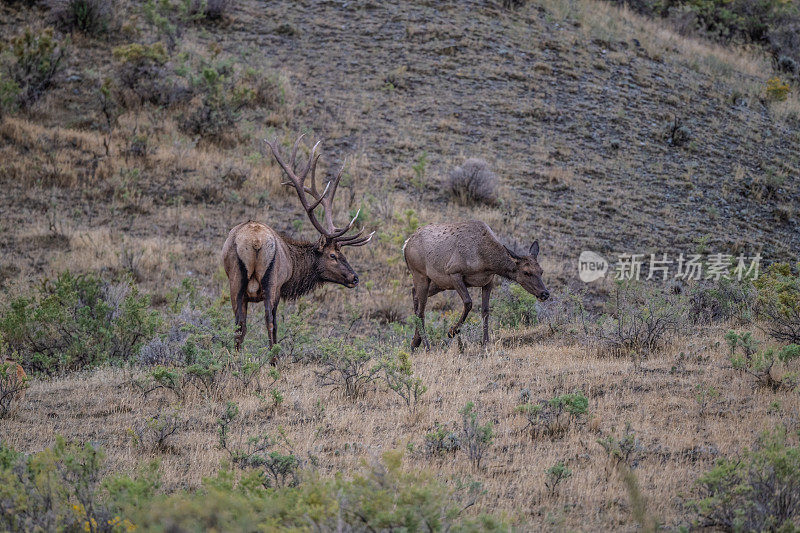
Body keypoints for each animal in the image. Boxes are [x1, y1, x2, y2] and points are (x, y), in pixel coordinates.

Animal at [222, 135, 376, 360]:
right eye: (333, 255)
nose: (354, 278)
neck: (294, 268)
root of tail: (255, 241)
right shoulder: (279, 287)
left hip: (235, 280)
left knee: (238, 324)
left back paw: (234, 359)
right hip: (271, 281)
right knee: (270, 322)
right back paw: (274, 360)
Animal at [404, 220, 548, 350]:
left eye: (541, 271)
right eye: (526, 272)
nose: (545, 293)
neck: (485, 261)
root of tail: (406, 244)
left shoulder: (488, 281)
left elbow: (485, 311)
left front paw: (486, 343)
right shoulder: (453, 272)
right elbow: (468, 302)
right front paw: (452, 331)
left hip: (438, 282)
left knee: (414, 294)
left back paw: (415, 342)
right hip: (420, 274)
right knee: (421, 310)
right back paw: (426, 346)